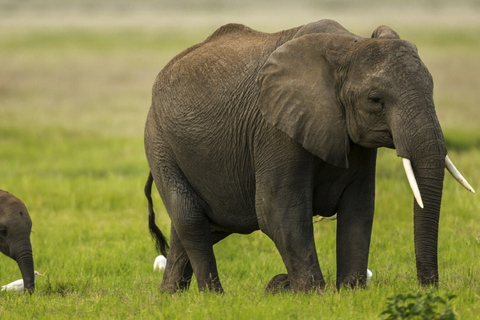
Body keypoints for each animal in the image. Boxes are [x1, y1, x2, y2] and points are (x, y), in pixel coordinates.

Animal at [142, 20, 472, 294]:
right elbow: (277, 210)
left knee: (199, 228)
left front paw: (351, 291)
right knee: (191, 220)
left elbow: (360, 206)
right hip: (160, 144)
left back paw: (170, 296)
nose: (428, 287)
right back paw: (214, 296)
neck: (348, 45)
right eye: (375, 100)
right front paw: (313, 293)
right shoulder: (274, 128)